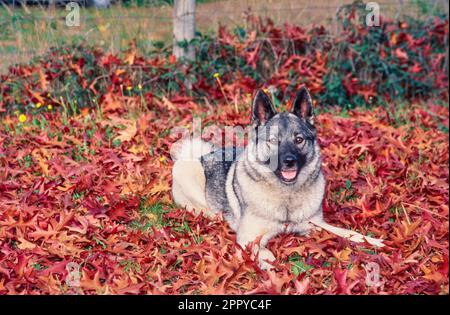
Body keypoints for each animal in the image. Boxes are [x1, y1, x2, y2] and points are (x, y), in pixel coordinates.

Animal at [172, 87, 384, 270]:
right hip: (188, 171)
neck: (286, 195)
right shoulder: (249, 237)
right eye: (273, 141)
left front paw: (371, 241)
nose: (289, 161)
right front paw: (272, 268)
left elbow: (347, 232)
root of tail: (201, 154)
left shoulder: (314, 225)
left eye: (299, 139)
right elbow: (265, 253)